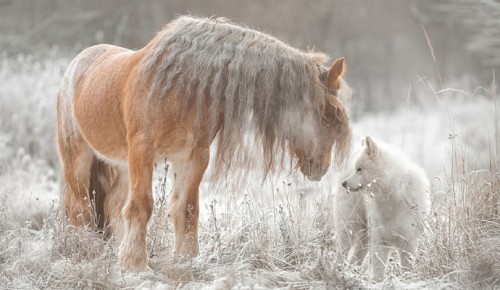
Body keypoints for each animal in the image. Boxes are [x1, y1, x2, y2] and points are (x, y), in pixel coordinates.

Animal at [55, 15, 352, 270]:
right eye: (328, 113)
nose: (321, 167)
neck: (183, 85)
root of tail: (76, 64)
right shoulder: (143, 150)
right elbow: (142, 206)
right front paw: (136, 265)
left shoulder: (194, 156)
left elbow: (186, 209)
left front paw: (186, 260)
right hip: (78, 157)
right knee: (80, 206)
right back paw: (84, 249)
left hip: (122, 164)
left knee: (113, 204)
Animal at [336, 136, 430, 280]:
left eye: (359, 169)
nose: (344, 183)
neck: (392, 194)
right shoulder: (380, 240)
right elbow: (378, 269)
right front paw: (378, 282)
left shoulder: (408, 239)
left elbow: (407, 267)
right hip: (349, 227)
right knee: (341, 252)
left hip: (364, 235)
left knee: (356, 257)